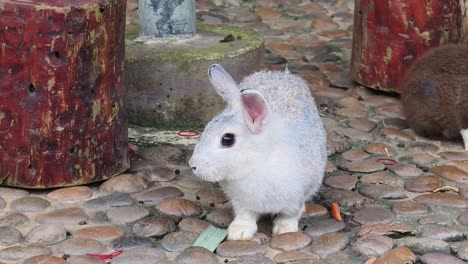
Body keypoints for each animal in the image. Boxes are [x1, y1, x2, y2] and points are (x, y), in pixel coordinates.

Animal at [188, 63, 328, 239]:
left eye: (227, 139)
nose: (193, 165)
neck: (256, 162)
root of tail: (281, 74)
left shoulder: (295, 198)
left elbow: (289, 215)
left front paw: (285, 231)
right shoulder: (241, 202)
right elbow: (245, 215)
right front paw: (239, 232)